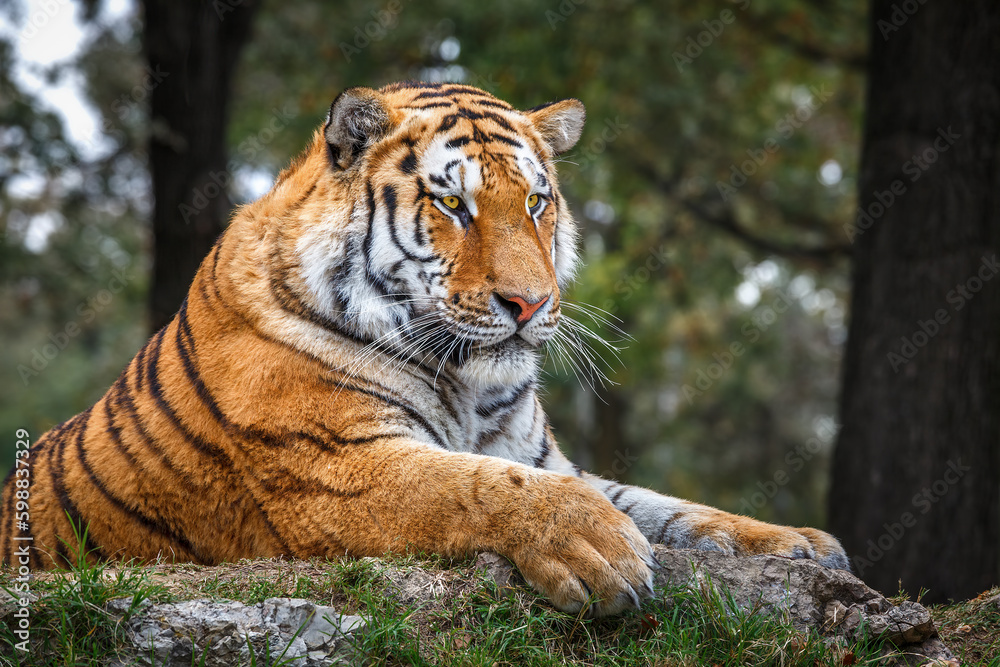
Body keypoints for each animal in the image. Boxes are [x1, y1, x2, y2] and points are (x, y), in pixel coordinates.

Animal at [0, 82, 847, 617]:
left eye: (536, 201)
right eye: (452, 202)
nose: (529, 303)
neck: (471, 385)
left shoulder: (544, 455)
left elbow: (668, 506)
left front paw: (802, 546)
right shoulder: (338, 469)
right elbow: (474, 485)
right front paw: (599, 548)